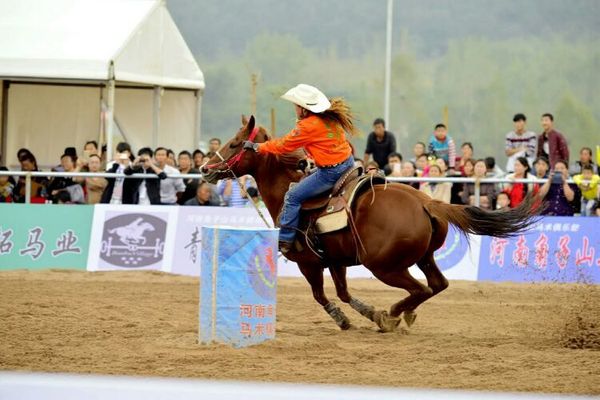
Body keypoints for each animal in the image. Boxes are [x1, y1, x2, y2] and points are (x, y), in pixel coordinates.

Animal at [203, 117, 540, 332]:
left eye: (235, 143)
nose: (206, 168)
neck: (289, 187)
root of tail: (426, 202)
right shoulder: (335, 261)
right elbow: (342, 292)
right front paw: (364, 312)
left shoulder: (308, 263)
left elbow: (322, 296)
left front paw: (346, 319)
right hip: (423, 257)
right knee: (437, 285)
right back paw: (401, 314)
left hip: (384, 266)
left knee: (419, 288)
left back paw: (390, 315)